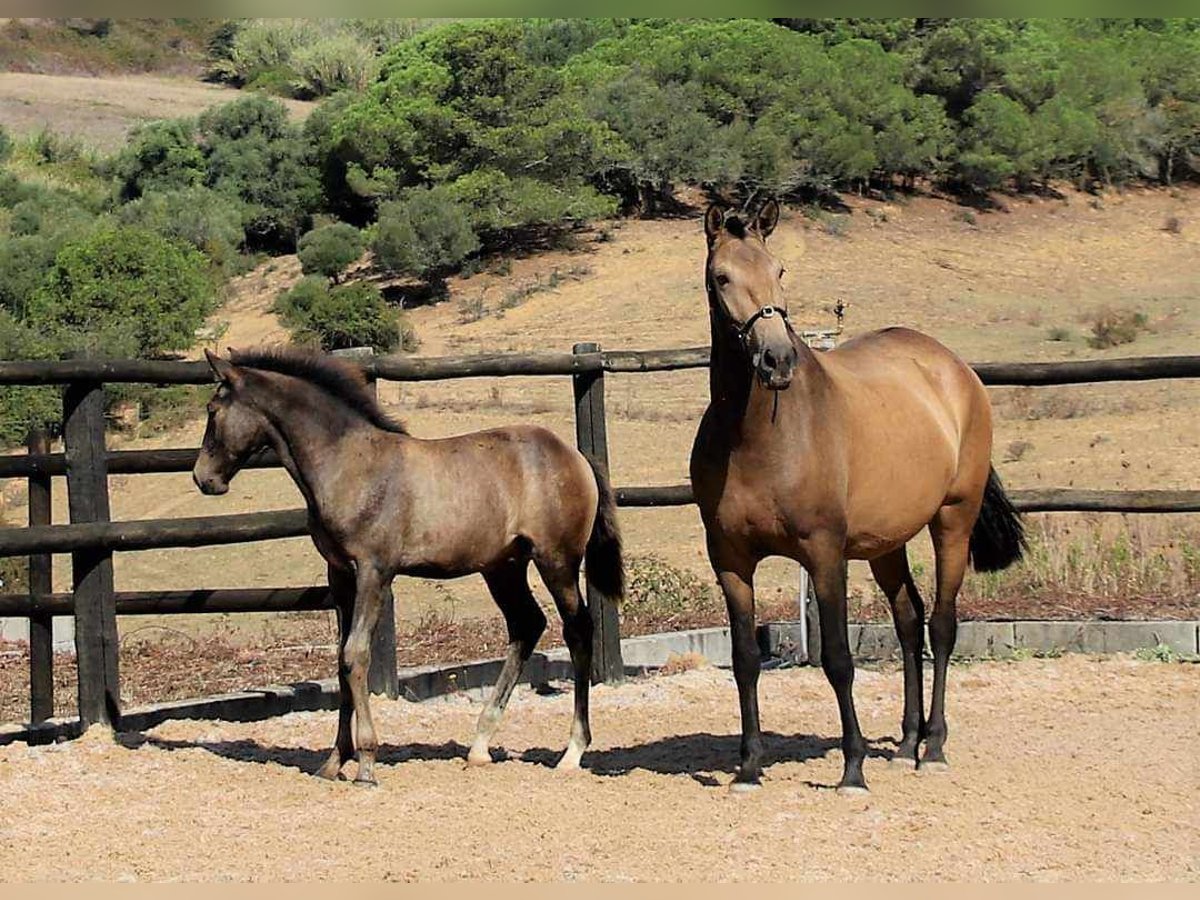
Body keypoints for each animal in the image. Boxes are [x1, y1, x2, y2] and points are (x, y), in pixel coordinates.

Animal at [192, 348, 624, 787]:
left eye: (212, 410)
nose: (203, 478)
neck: (351, 465)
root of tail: (576, 456)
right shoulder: (340, 573)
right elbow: (341, 660)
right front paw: (333, 762)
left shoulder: (374, 571)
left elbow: (356, 655)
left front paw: (365, 764)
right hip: (503, 567)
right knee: (527, 625)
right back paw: (480, 746)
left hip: (557, 560)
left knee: (577, 630)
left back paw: (571, 752)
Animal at [691, 200, 1027, 792]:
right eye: (721, 277)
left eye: (779, 269)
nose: (777, 360)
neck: (756, 438)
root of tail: (954, 368)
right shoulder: (730, 559)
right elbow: (745, 660)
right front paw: (749, 767)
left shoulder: (825, 554)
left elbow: (838, 659)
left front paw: (852, 768)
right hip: (885, 544)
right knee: (909, 620)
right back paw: (907, 744)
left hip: (952, 521)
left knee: (942, 626)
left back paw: (933, 748)